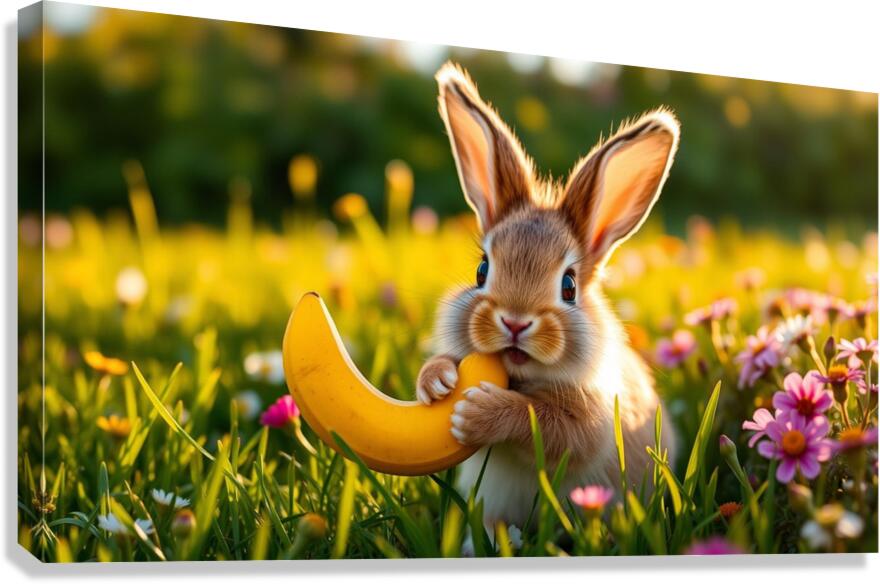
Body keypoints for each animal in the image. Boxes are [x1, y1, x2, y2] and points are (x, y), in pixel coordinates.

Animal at [416, 62, 680, 532]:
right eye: (482, 270)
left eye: (569, 286)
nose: (515, 322)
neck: (522, 377)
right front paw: (436, 381)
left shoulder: (588, 423)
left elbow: (546, 426)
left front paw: (479, 414)